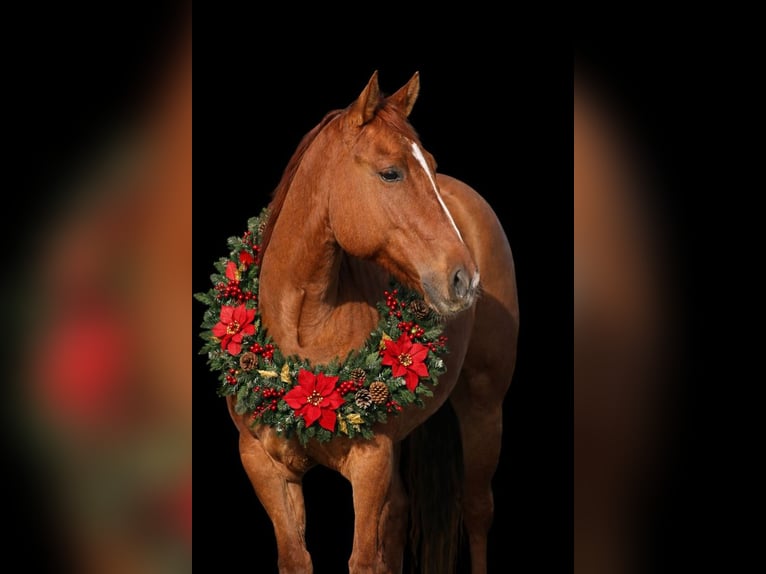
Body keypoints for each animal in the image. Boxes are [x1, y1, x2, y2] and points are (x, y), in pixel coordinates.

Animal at [200, 71, 519, 573]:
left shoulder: (370, 464)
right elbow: (297, 557)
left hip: (483, 407)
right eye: (391, 172)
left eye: (429, 164)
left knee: (477, 510)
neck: (302, 328)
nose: (464, 279)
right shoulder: (264, 465)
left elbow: (364, 559)